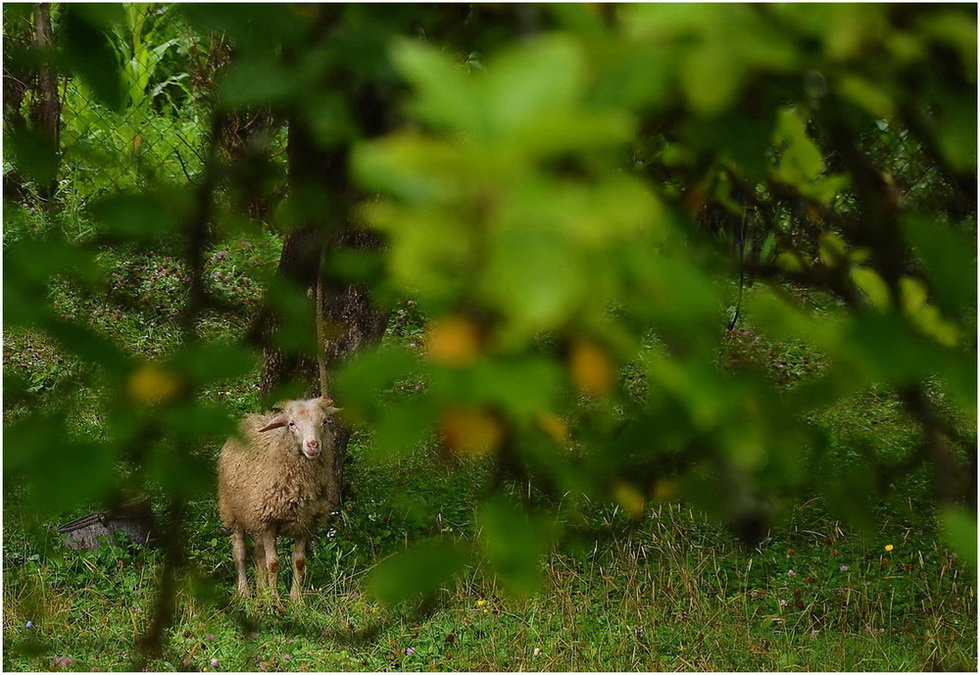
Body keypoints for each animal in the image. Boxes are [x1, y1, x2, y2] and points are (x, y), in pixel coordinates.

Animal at [216, 396, 342, 604]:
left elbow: (299, 562)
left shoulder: (305, 523)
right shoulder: (269, 522)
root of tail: (251, 418)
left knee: (258, 554)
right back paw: (244, 591)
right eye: (291, 424)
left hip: (256, 517)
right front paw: (275, 602)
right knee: (240, 552)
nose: (313, 445)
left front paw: (296, 600)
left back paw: (261, 592)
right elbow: (273, 563)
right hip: (233, 511)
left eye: (325, 421)